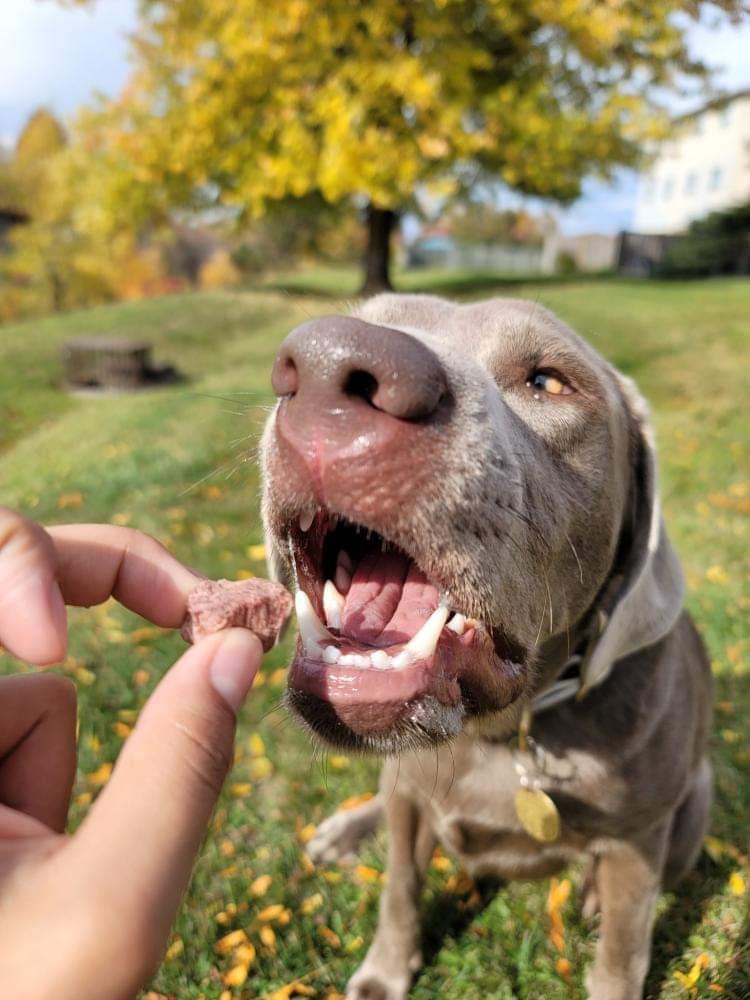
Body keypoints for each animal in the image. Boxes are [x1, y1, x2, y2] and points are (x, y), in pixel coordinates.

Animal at [262, 294, 712, 1000]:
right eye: (373, 316)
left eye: (548, 381)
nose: (326, 366)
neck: (501, 735)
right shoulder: (410, 793)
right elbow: (399, 886)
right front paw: (384, 971)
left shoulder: (640, 843)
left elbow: (621, 953)